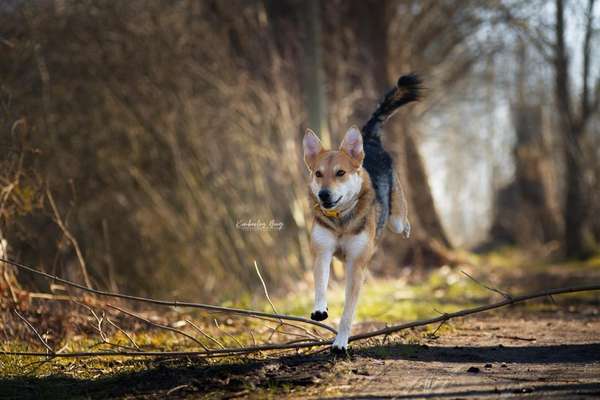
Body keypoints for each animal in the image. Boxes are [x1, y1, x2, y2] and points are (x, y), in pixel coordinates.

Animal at [302, 74, 420, 354]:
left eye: (340, 173)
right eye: (318, 174)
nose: (323, 195)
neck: (341, 221)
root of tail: (370, 141)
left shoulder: (356, 265)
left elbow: (348, 312)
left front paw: (340, 343)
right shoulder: (322, 251)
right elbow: (320, 285)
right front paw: (320, 309)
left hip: (395, 218)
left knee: (401, 221)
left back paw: (407, 228)